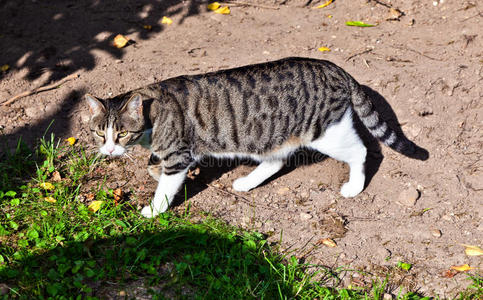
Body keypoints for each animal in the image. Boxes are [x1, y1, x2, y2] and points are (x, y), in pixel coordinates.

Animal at [85, 56, 430, 217]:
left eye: (122, 133)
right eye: (100, 133)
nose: (109, 151)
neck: (153, 111)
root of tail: (333, 68)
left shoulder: (178, 156)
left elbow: (165, 187)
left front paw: (154, 209)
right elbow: (152, 166)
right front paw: (153, 171)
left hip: (326, 132)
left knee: (361, 151)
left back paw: (354, 186)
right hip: (269, 135)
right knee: (276, 161)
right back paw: (246, 182)